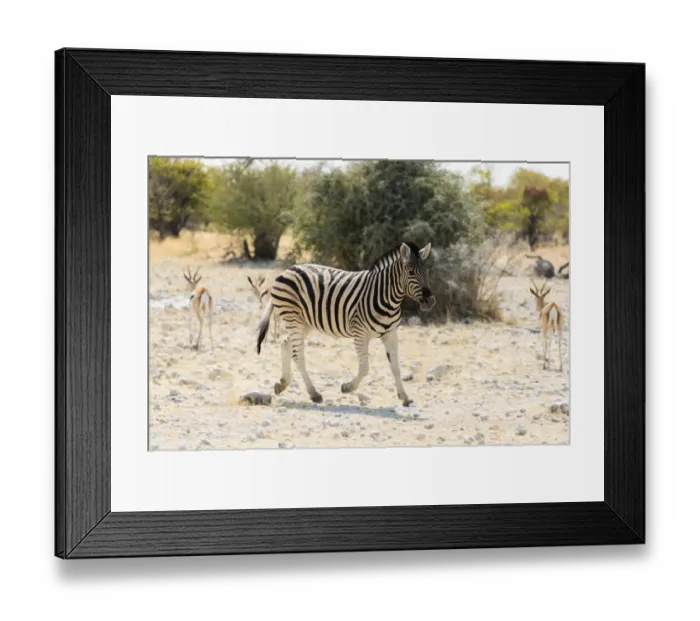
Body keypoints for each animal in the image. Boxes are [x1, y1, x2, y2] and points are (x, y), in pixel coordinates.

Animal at [255, 241, 436, 406]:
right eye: (411, 272)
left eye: (427, 271)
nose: (430, 301)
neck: (386, 298)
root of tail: (287, 270)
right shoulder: (360, 334)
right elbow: (365, 368)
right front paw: (347, 388)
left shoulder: (391, 334)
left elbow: (396, 367)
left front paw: (404, 397)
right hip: (294, 319)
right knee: (297, 354)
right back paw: (314, 394)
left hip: (305, 323)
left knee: (285, 344)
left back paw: (283, 384)